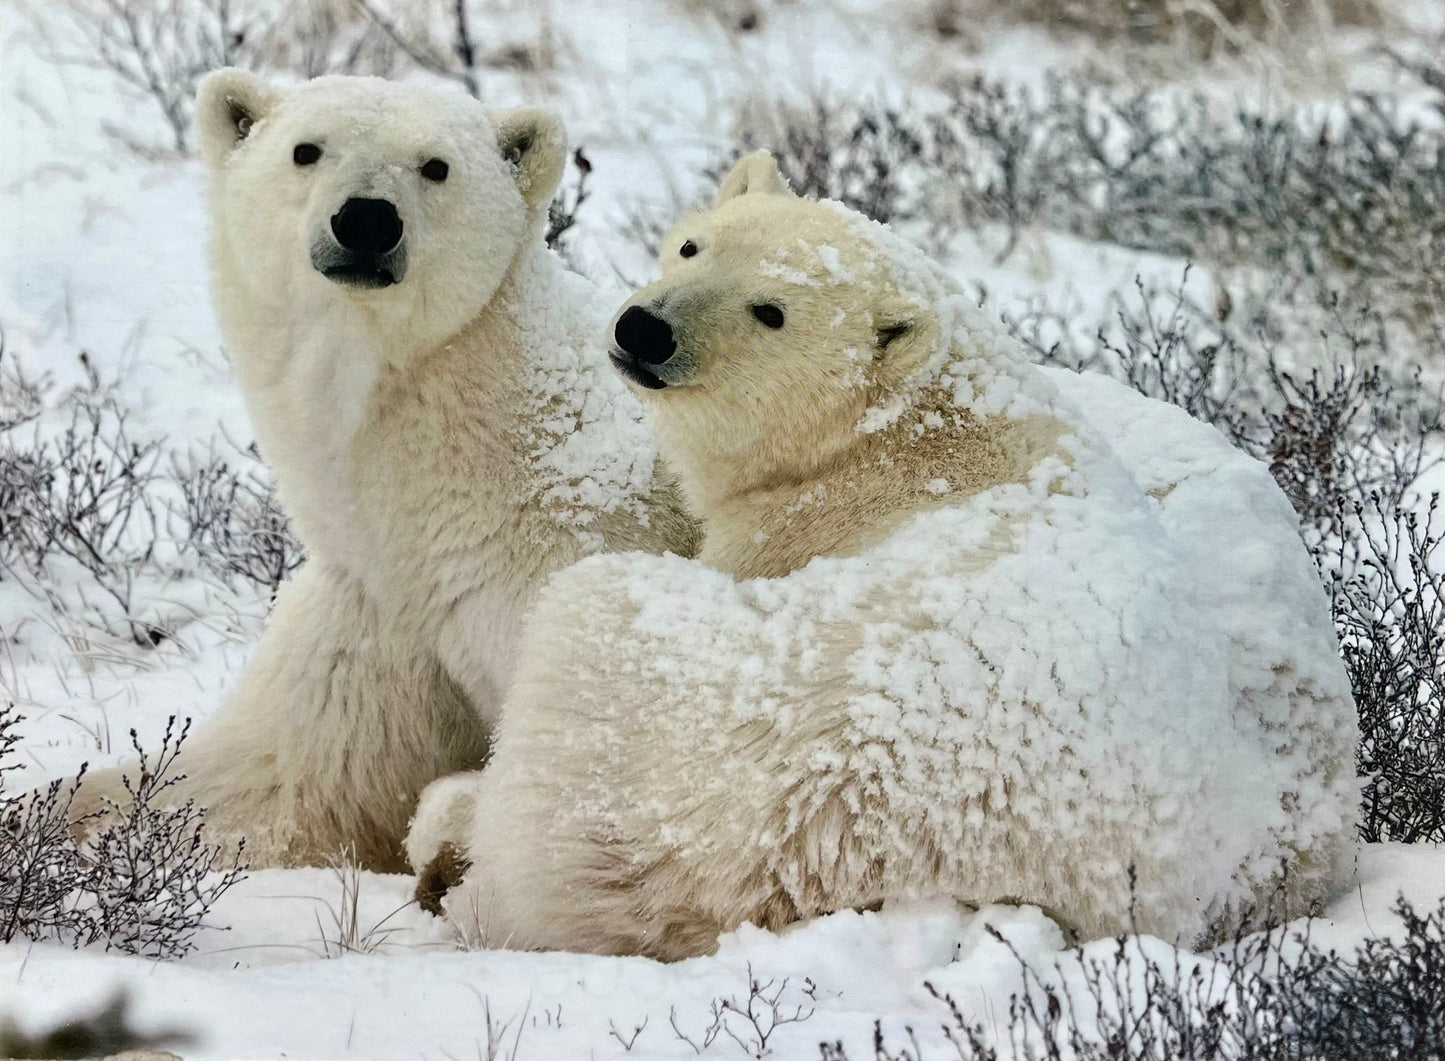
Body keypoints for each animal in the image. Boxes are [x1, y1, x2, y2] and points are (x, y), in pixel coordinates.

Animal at [69, 71, 697, 872]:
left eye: (436, 166)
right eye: (306, 150)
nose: (366, 220)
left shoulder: (576, 565)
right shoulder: (377, 606)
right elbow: (276, 775)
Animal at [406, 152, 1359, 957]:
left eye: (771, 311)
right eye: (691, 244)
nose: (644, 329)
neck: (904, 439)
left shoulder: (791, 531)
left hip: (695, 745)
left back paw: (451, 831)